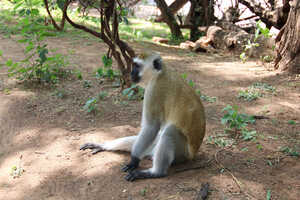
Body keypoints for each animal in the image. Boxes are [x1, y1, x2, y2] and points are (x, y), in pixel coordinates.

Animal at [80, 52, 206, 181]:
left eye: (137, 66)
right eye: (133, 65)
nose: (131, 73)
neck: (159, 74)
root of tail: (193, 154)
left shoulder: (154, 90)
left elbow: (151, 127)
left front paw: (134, 160)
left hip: (182, 154)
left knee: (170, 132)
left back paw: (156, 173)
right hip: (156, 146)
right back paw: (105, 146)